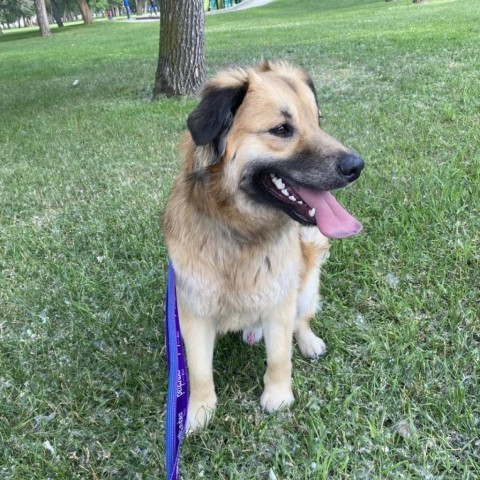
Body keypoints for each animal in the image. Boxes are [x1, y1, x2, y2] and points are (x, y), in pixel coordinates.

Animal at [163, 60, 366, 432]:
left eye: (318, 121)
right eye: (282, 129)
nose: (356, 166)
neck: (240, 232)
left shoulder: (279, 303)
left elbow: (280, 357)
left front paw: (278, 396)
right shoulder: (192, 311)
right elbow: (198, 372)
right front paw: (198, 413)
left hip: (305, 283)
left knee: (303, 320)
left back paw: (309, 342)